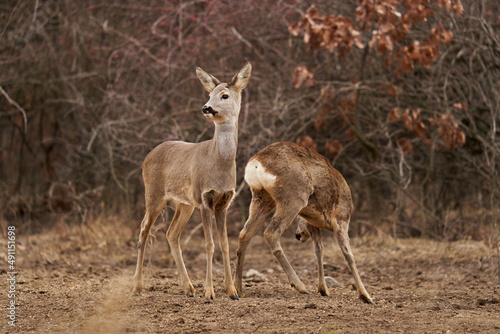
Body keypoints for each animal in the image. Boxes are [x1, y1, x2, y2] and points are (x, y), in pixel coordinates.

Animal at [133, 62, 252, 300]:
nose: (206, 107)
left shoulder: (224, 201)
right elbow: (209, 244)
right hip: (154, 194)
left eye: (224, 95)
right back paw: (137, 287)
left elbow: (225, 244)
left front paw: (232, 291)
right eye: (209, 94)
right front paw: (210, 292)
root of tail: (148, 156)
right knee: (143, 231)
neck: (219, 163)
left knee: (171, 234)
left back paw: (188, 288)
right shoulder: (204, 198)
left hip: (184, 204)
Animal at [233, 142, 372, 304]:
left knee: (244, 234)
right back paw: (300, 285)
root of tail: (256, 163)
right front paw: (365, 295)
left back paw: (238, 289)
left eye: (300, 220)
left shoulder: (313, 225)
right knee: (270, 233)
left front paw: (323, 289)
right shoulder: (341, 220)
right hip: (293, 197)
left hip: (261, 198)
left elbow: (319, 250)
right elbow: (348, 254)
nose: (298, 235)